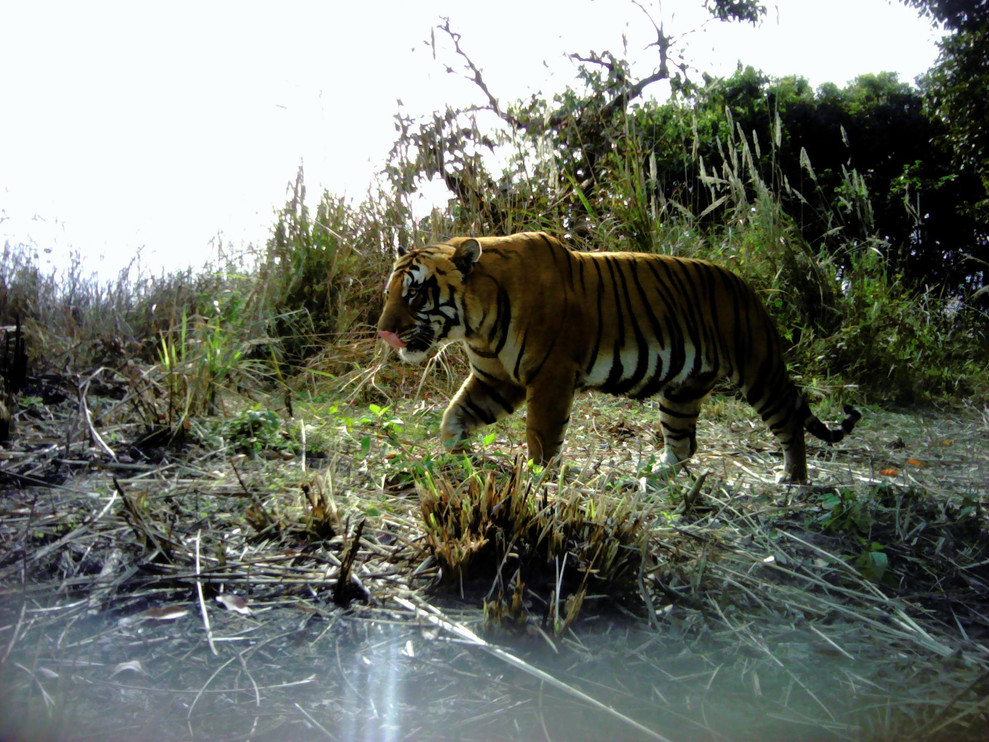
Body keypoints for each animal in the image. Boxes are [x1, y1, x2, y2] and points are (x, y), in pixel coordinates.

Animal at [377, 231, 860, 483]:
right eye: (389, 293)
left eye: (414, 293)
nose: (383, 331)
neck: (474, 325)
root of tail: (748, 288)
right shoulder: (498, 380)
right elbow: (454, 415)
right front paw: (455, 455)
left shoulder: (549, 376)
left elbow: (541, 435)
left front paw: (538, 480)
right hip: (682, 391)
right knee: (684, 443)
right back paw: (653, 478)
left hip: (757, 368)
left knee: (789, 421)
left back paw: (793, 480)